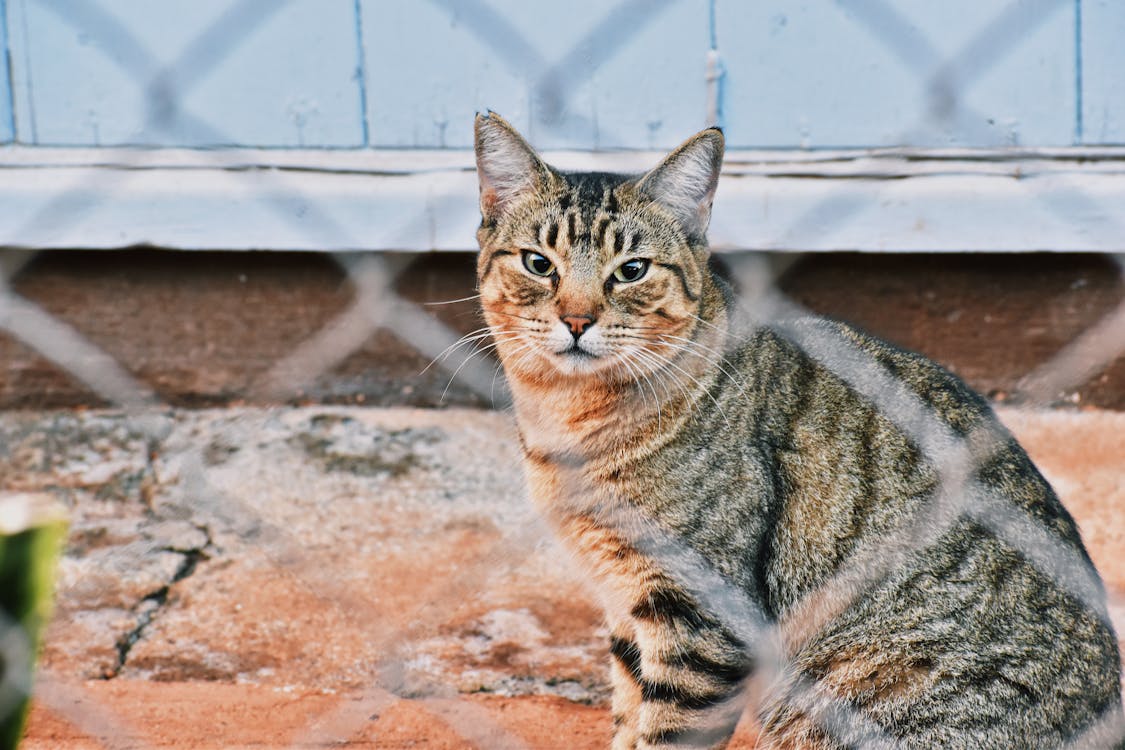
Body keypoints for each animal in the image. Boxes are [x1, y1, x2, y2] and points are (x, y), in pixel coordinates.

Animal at [470, 113, 1120, 750]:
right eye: (538, 263)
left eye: (631, 271)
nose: (577, 320)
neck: (569, 420)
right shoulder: (627, 603)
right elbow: (630, 718)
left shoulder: (700, 615)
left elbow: (662, 731)